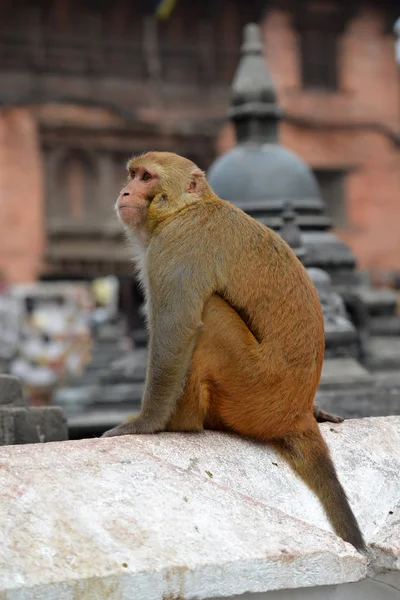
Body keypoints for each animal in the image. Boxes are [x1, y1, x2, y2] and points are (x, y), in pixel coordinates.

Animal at [102, 151, 366, 552]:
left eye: (146, 177)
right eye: (132, 174)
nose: (125, 191)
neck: (185, 208)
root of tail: (297, 412)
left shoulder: (178, 245)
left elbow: (177, 328)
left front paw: (146, 423)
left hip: (252, 390)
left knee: (209, 313)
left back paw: (184, 424)